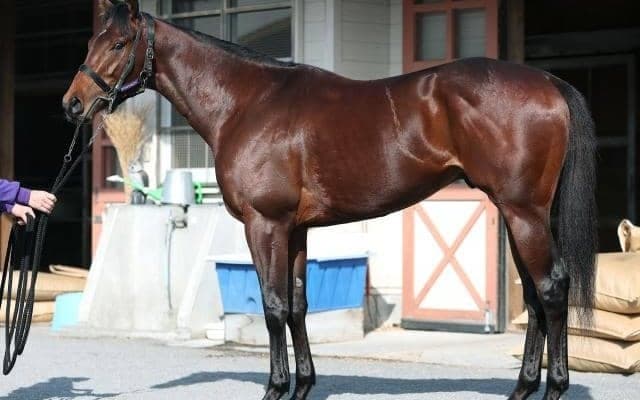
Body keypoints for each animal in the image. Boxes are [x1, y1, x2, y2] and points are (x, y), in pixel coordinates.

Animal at [62, 1, 598, 399]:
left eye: (118, 44)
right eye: (89, 43)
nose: (72, 104)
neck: (247, 103)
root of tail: (549, 83)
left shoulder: (265, 224)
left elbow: (274, 305)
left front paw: (276, 388)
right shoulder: (296, 229)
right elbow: (299, 304)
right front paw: (302, 385)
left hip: (523, 214)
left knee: (551, 289)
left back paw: (554, 387)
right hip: (520, 214)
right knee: (535, 295)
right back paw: (523, 388)